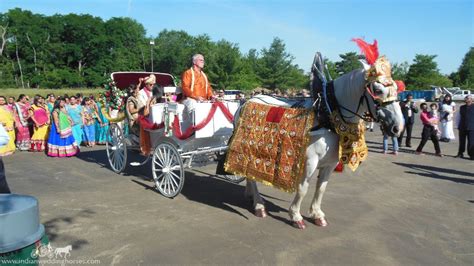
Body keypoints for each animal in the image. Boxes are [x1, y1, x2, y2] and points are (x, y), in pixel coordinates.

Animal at [236, 55, 404, 229]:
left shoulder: (330, 163)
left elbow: (321, 188)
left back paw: (250, 195)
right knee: (250, 174)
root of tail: (248, 100)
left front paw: (317, 214)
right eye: (377, 91)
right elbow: (303, 188)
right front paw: (296, 216)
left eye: (397, 90)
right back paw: (259, 205)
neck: (328, 117)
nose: (397, 127)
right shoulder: (310, 161)